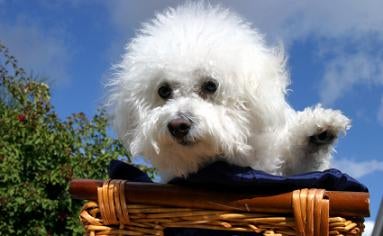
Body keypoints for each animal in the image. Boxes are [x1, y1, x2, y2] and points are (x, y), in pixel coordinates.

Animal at [106, 2, 352, 183]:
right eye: (164, 90)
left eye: (210, 85)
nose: (178, 125)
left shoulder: (277, 166)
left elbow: (306, 167)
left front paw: (320, 128)